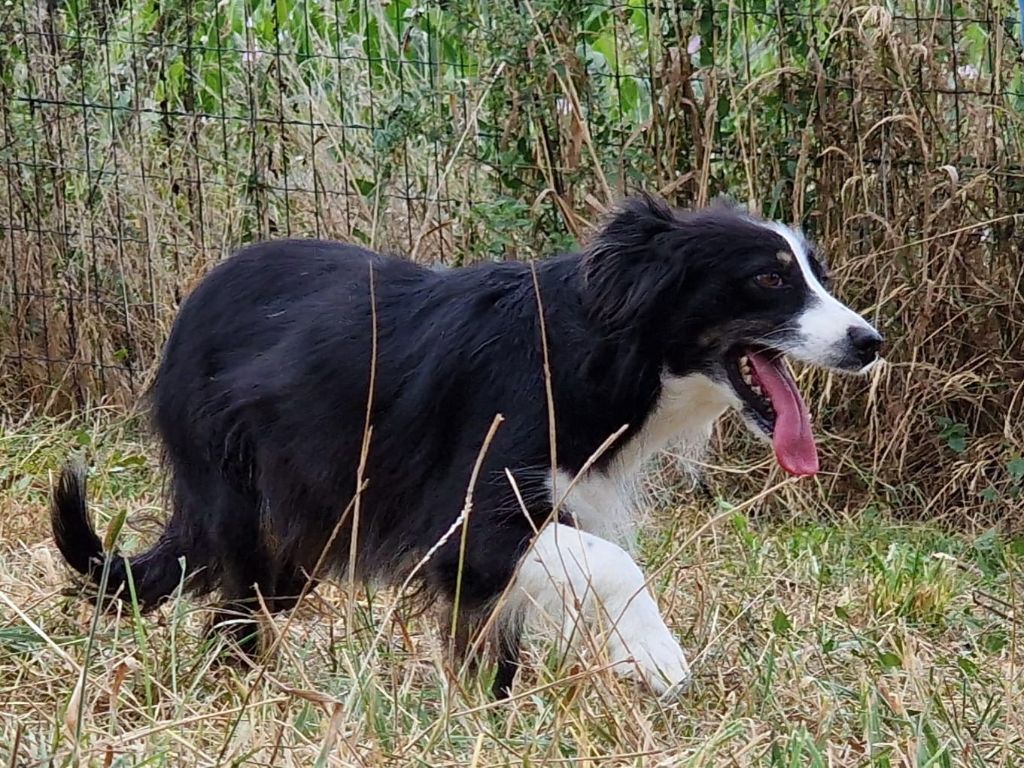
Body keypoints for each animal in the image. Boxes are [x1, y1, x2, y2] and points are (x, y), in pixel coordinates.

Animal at [49, 196, 880, 696]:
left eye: (818, 275)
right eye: (770, 280)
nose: (870, 342)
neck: (609, 349)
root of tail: (191, 307)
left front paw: (492, 704)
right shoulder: (472, 485)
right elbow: (583, 557)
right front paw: (656, 657)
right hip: (242, 473)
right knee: (240, 590)